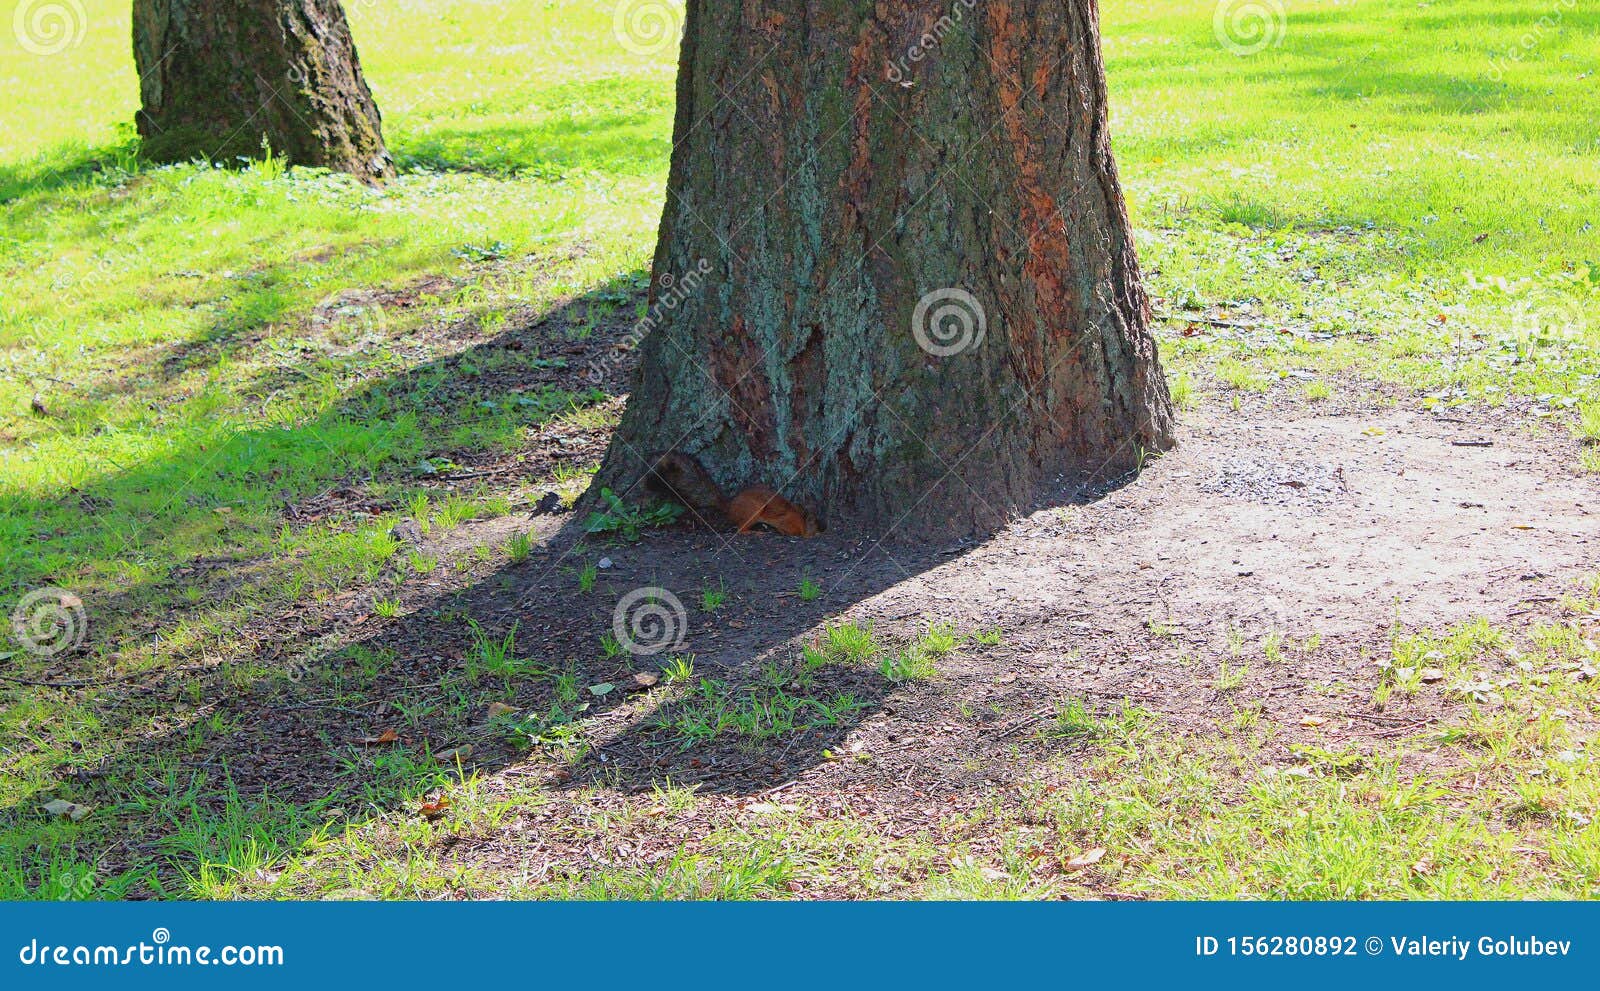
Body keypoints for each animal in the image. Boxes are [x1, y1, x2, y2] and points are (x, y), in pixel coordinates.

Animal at [646, 452, 822, 538]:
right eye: (813, 521)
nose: (820, 531)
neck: (800, 517)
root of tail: (730, 506)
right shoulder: (787, 522)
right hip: (752, 512)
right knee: (740, 529)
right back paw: (754, 532)